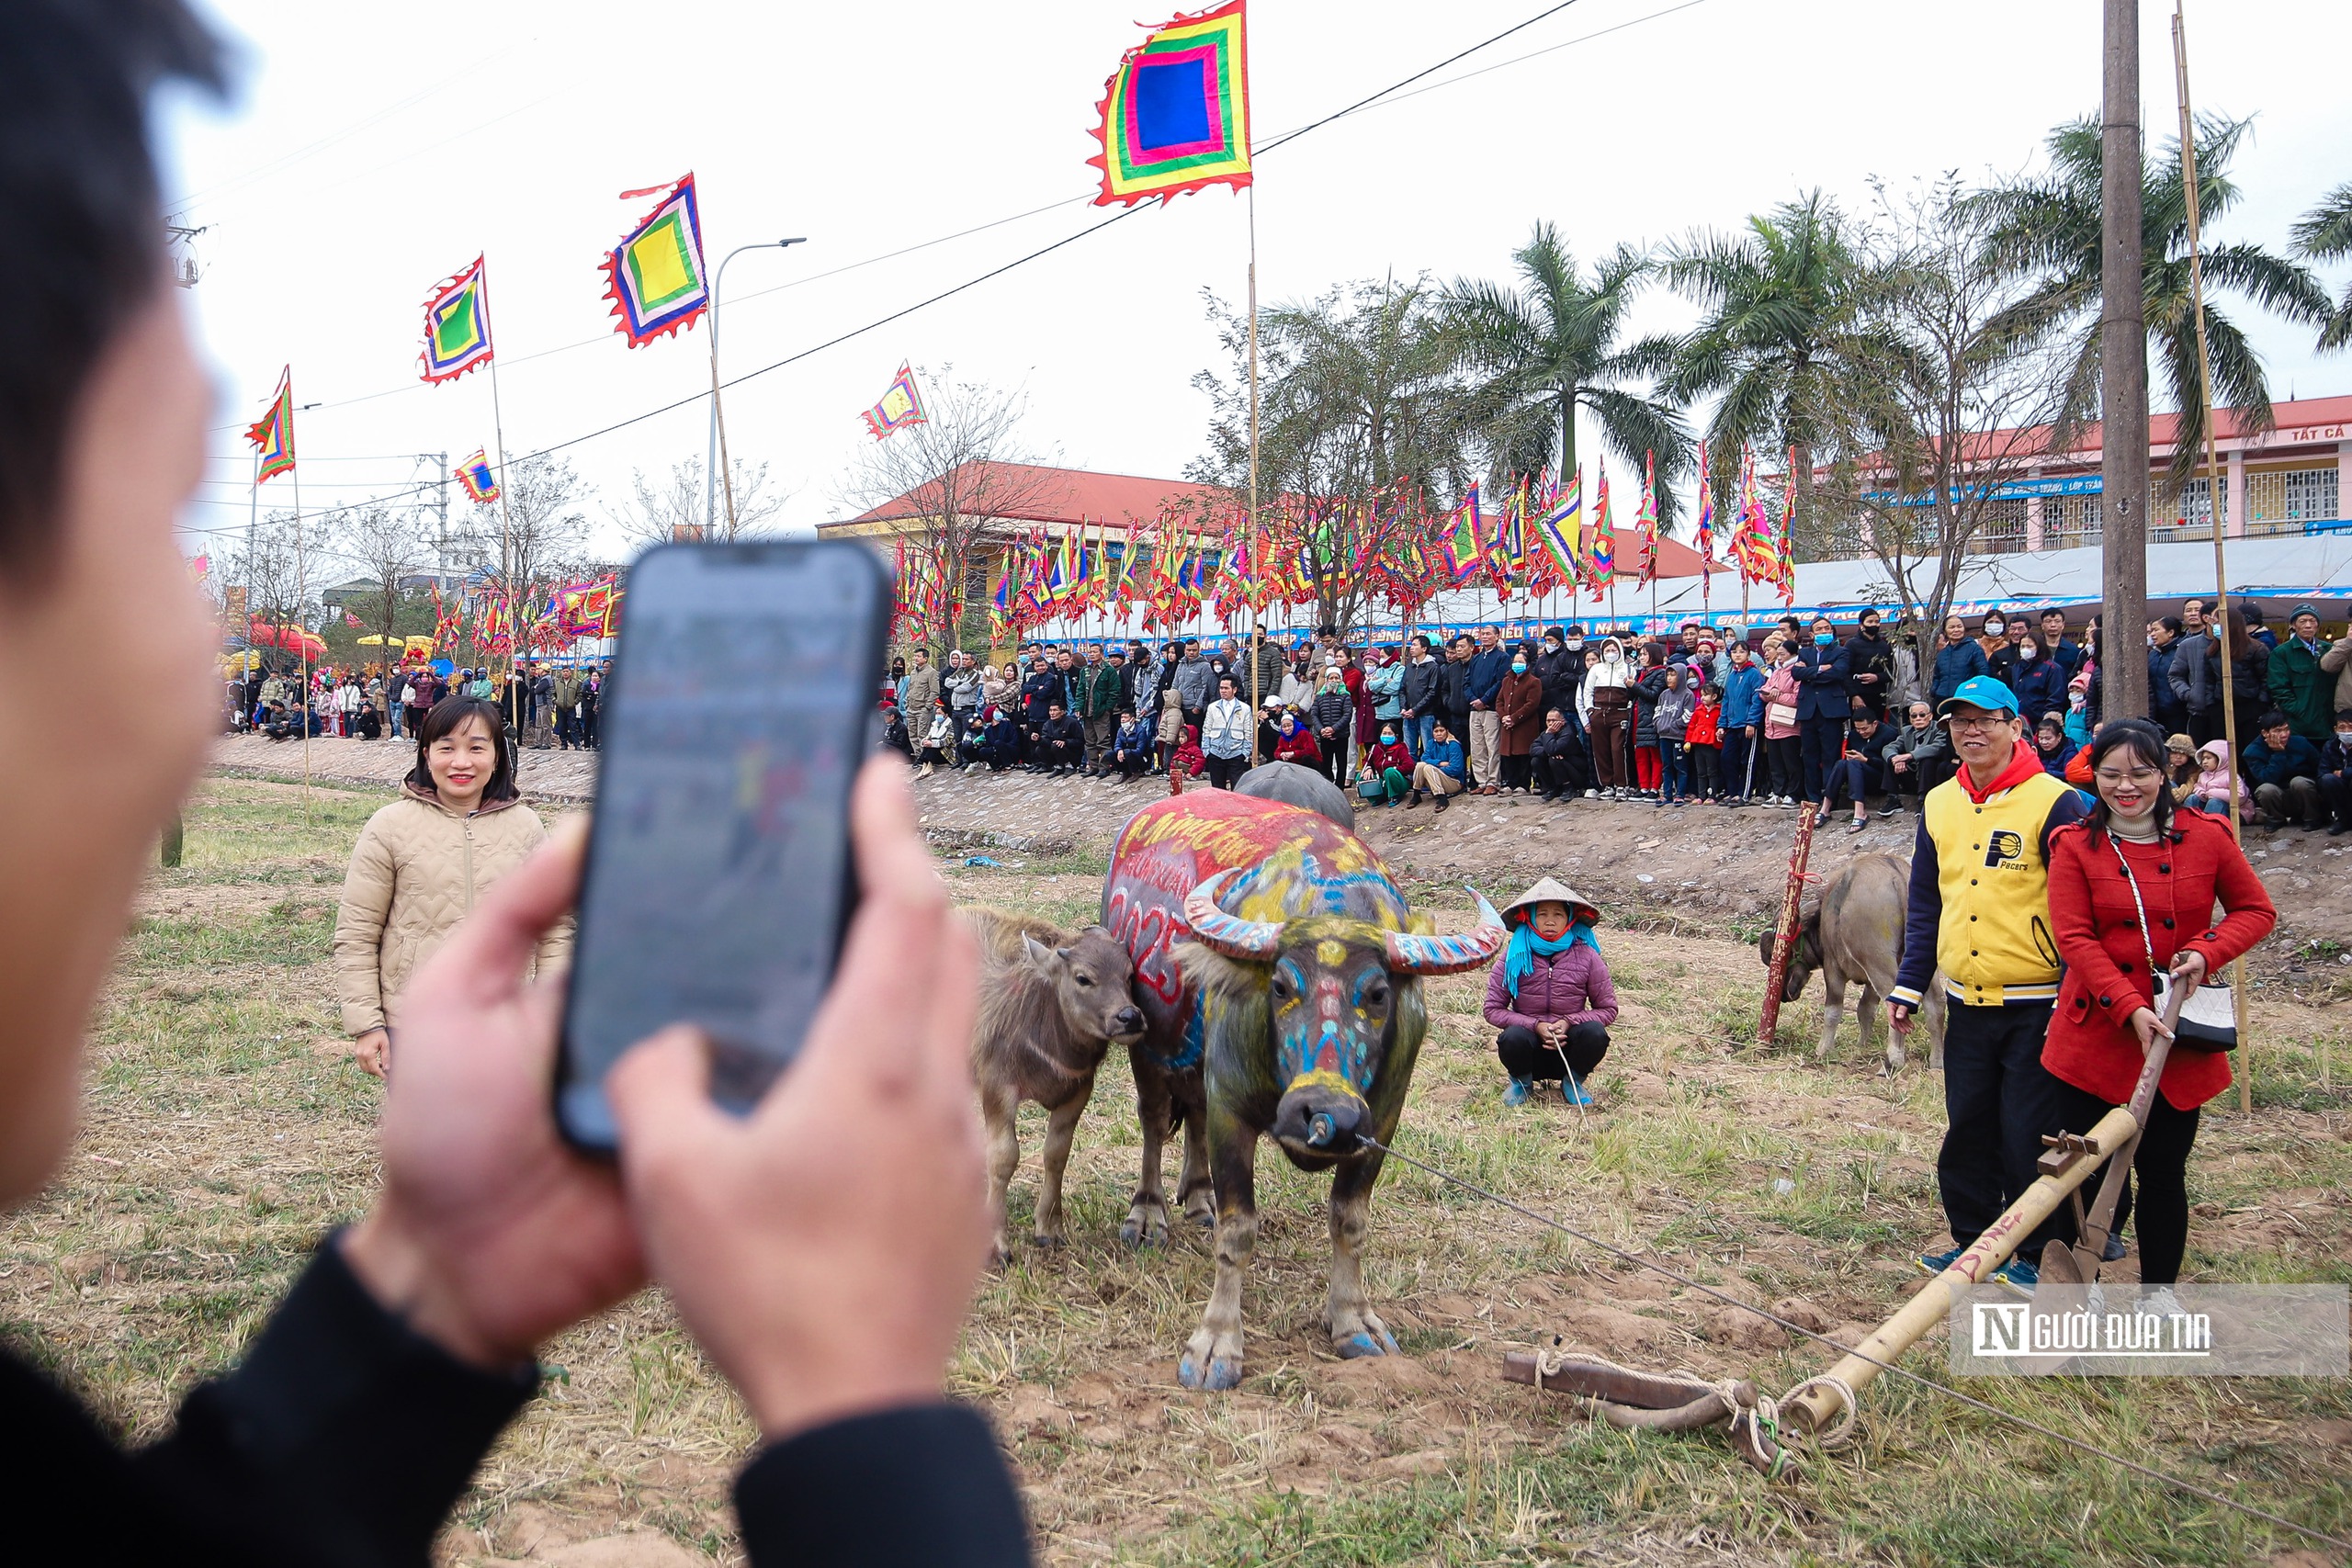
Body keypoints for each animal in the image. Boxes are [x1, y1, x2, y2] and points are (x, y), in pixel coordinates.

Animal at [964, 911, 1148, 1269]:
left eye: (1129, 974)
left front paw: (1048, 1229)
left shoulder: (1078, 1092)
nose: (1129, 1017)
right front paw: (997, 1246)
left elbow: (1056, 1153)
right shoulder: (997, 1087)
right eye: (1083, 978)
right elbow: (1004, 1158)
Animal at [1105, 789, 1505, 1392]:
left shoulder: (1381, 1123)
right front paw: (1216, 1345)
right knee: (1154, 1121)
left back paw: (1198, 1198)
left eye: (1379, 993)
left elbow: (1350, 1221)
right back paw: (1148, 1216)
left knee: (1191, 1114)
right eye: (1280, 985)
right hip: (1144, 1045)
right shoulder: (1231, 1108)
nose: (1325, 1112)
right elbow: (1238, 1231)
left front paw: (1354, 1322)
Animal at [1769, 851, 1947, 1072]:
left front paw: (1822, 1049)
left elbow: (1833, 1011)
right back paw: (1937, 1062)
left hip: (1878, 960)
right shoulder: (1870, 982)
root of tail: (1896, 874)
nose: (1785, 994)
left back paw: (1894, 1058)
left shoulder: (1833, 968)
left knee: (1895, 1001)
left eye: (1785, 952)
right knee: (1936, 1001)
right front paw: (1862, 1045)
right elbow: (1865, 1009)